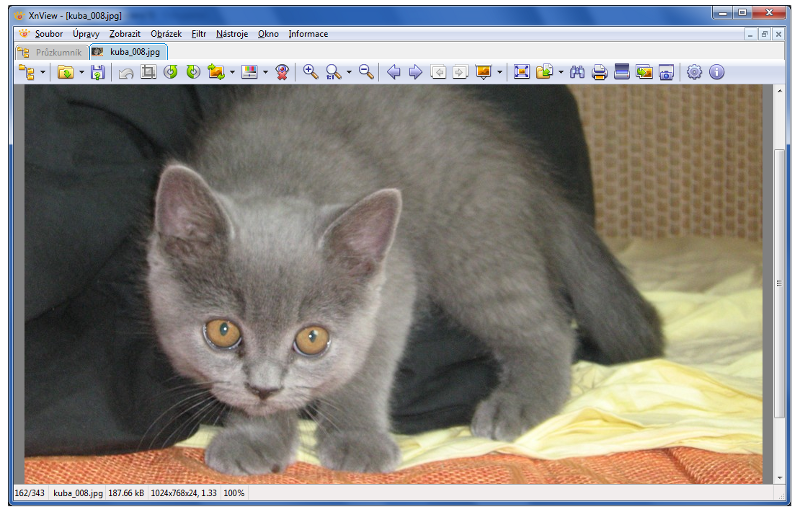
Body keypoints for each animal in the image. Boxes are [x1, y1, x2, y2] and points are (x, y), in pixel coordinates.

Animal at [146, 86, 663, 475]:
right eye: (222, 332)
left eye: (312, 338)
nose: (263, 388)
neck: (277, 177)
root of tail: (519, 160)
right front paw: (256, 435)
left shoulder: (395, 282)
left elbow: (367, 367)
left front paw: (356, 438)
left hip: (473, 247)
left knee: (550, 330)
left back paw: (516, 404)